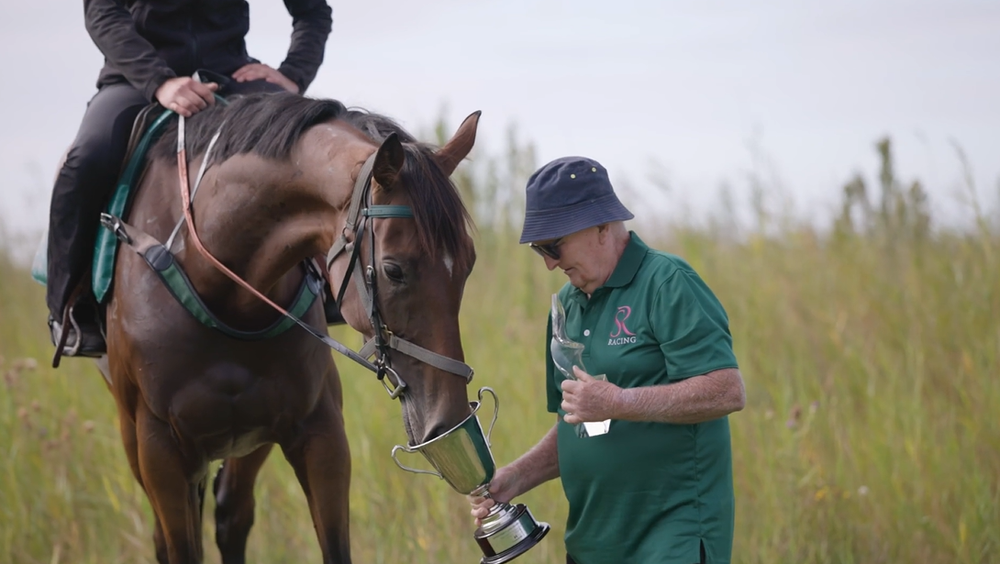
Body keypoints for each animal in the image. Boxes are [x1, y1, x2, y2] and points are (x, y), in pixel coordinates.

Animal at [102, 92, 480, 563]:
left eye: (468, 263)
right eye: (393, 270)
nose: (449, 417)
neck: (226, 293)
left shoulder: (322, 436)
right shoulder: (161, 453)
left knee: (232, 516)